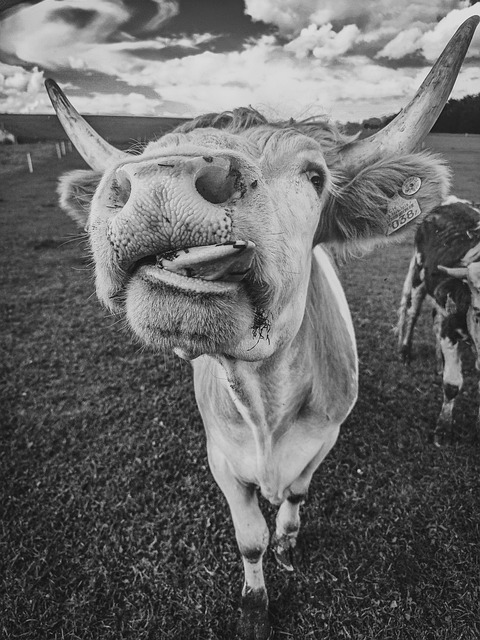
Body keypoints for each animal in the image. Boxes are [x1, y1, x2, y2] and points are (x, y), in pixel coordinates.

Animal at [396, 197, 480, 446]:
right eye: (477, 310)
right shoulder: (450, 330)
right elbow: (452, 384)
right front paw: (442, 430)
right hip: (418, 276)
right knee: (412, 312)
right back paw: (405, 352)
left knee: (435, 319)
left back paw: (438, 361)